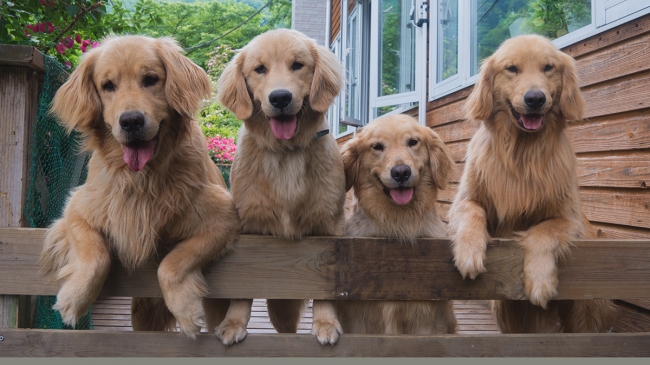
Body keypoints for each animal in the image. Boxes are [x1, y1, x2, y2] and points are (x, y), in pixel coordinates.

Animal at [42, 35, 240, 336]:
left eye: (151, 79)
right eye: (107, 86)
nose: (131, 121)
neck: (140, 178)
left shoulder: (223, 217)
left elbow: (172, 263)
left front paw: (185, 309)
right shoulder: (76, 209)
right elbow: (94, 254)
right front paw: (74, 298)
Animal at [448, 34, 616, 332]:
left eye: (548, 67)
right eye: (512, 69)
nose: (535, 98)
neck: (522, 151)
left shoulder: (569, 218)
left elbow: (542, 231)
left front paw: (539, 279)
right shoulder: (464, 200)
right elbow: (473, 212)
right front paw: (469, 251)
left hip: (586, 305)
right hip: (505, 307)